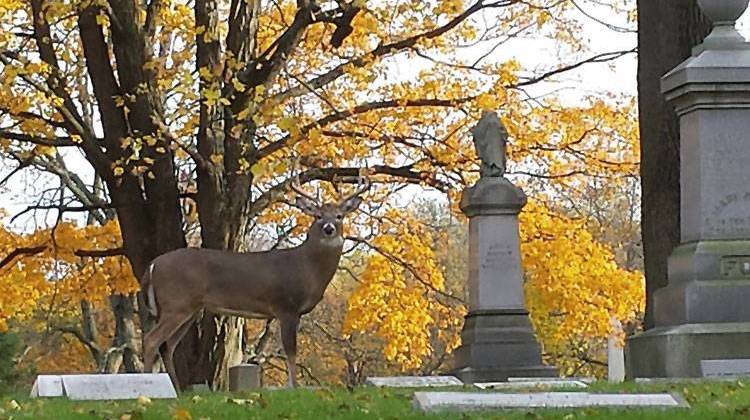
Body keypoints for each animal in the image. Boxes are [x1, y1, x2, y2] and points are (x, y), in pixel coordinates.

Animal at [140, 176, 370, 388]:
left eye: (339, 216)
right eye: (318, 215)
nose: (329, 229)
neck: (307, 268)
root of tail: (152, 265)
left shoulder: (293, 312)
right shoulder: (286, 306)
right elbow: (291, 352)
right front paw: (294, 388)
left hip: (189, 309)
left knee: (167, 346)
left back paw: (177, 391)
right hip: (176, 303)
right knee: (151, 340)